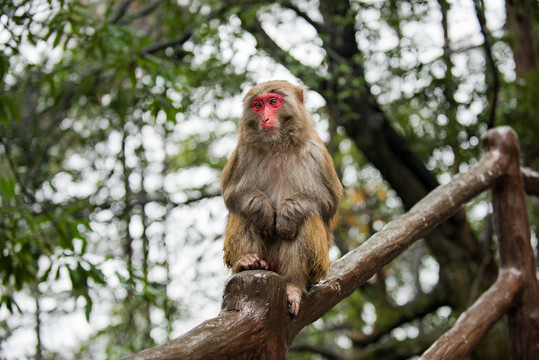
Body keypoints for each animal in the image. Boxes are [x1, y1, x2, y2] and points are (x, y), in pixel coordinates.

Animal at [223, 79, 342, 316]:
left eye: (273, 102)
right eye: (258, 105)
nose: (265, 118)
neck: (277, 145)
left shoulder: (316, 153)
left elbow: (327, 203)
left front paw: (289, 212)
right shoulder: (244, 152)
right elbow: (232, 194)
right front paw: (261, 209)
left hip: (316, 268)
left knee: (307, 218)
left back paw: (293, 285)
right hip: (265, 258)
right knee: (242, 212)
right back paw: (245, 261)